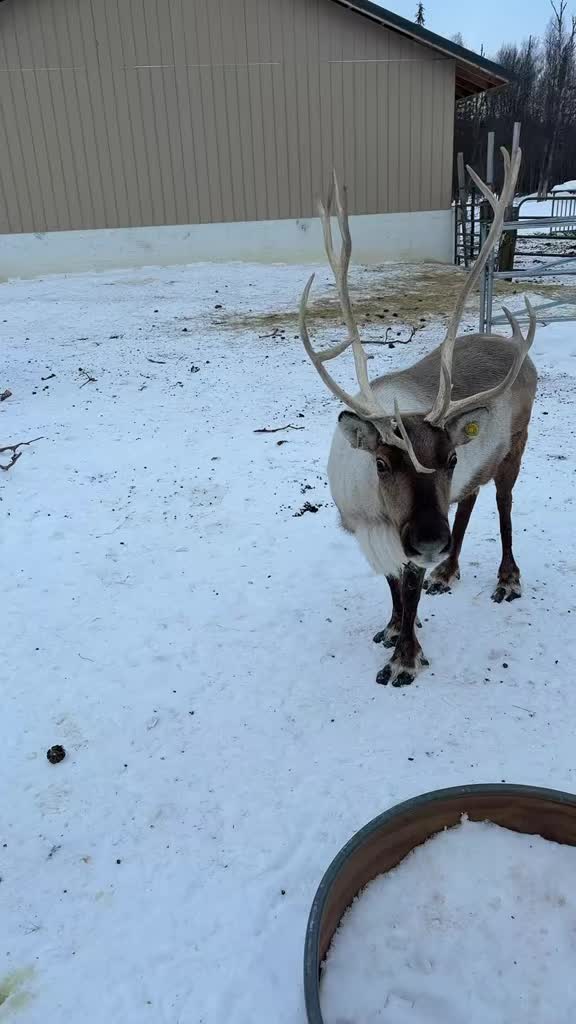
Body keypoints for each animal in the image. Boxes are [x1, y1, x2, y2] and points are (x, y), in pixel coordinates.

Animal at [299, 145, 537, 688]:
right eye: (382, 463)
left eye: (448, 458)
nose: (432, 540)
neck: (377, 517)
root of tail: (515, 347)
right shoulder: (376, 536)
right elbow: (392, 589)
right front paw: (390, 630)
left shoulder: (413, 537)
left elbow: (408, 594)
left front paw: (406, 657)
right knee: (468, 505)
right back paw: (448, 573)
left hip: (516, 444)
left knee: (504, 505)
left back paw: (506, 579)